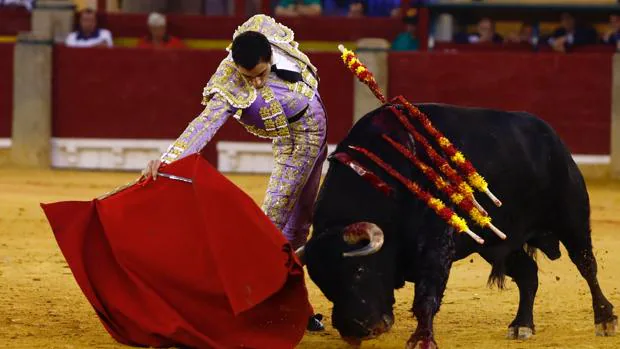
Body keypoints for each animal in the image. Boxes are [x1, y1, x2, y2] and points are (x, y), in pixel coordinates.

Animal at [300, 102, 616, 346]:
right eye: (321, 281)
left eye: (359, 270)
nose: (356, 329)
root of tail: (551, 136)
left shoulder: (436, 245)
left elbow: (427, 295)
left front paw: (422, 339)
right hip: (497, 241)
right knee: (528, 273)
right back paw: (521, 325)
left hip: (571, 219)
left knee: (586, 265)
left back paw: (604, 319)